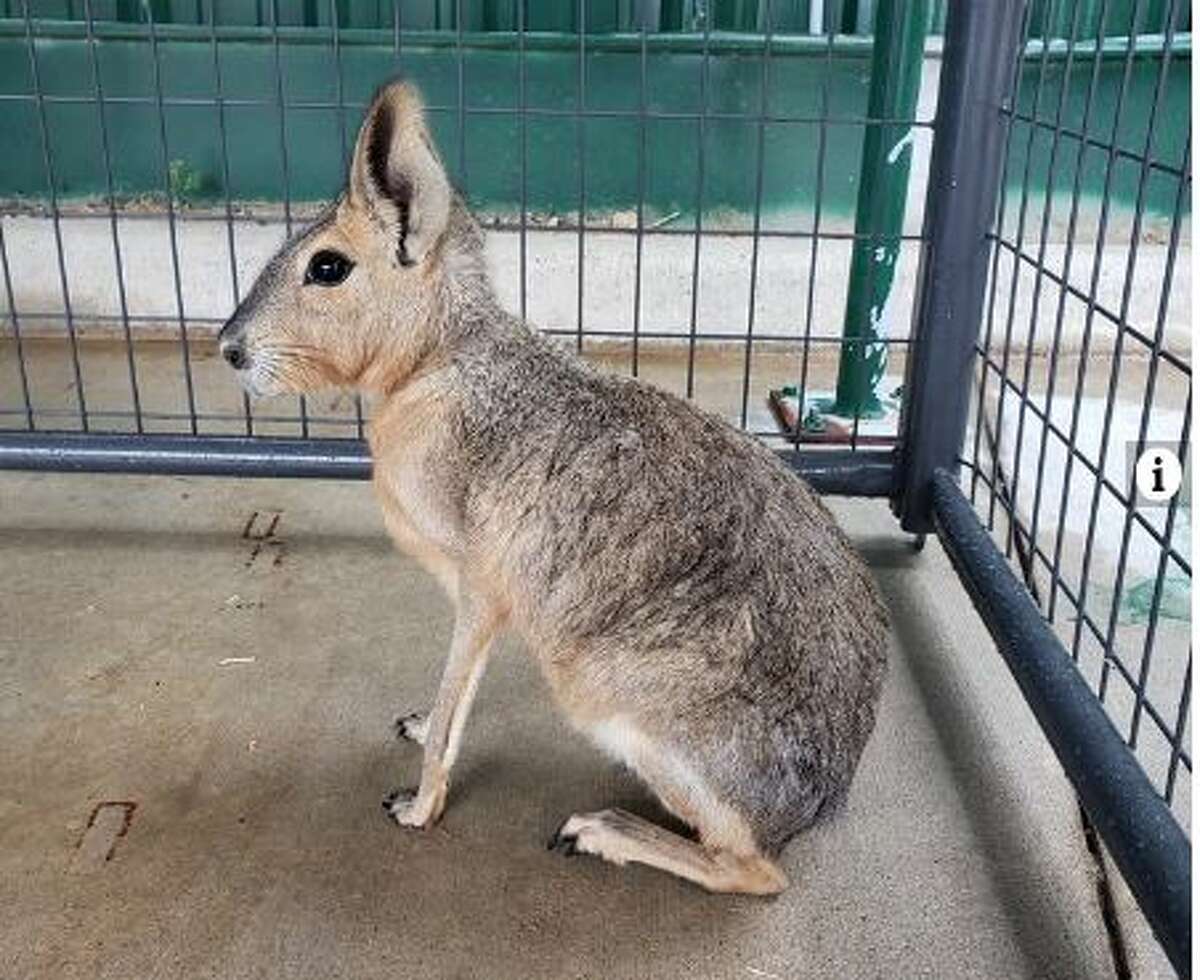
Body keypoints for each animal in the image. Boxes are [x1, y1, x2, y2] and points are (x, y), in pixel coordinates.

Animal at [217, 80, 889, 895]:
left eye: (327, 268)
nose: (229, 348)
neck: (437, 362)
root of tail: (816, 807)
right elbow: (456, 695)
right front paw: (422, 725)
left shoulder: (481, 585)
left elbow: (454, 694)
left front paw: (418, 805)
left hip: (607, 698)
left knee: (755, 872)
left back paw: (602, 831)